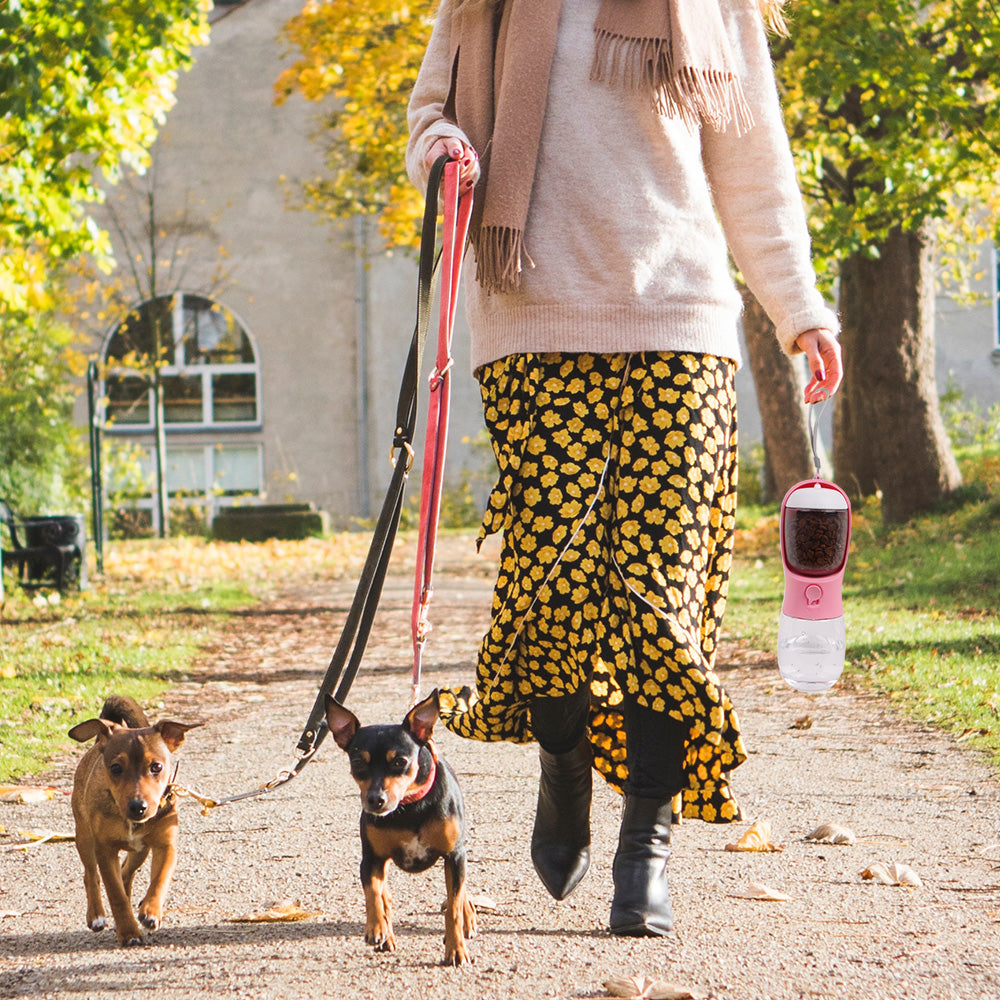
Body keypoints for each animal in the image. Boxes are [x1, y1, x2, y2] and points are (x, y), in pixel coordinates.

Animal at [69, 696, 201, 944]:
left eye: (156, 766)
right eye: (115, 768)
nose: (138, 806)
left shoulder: (165, 845)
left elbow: (160, 879)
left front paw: (150, 911)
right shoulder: (105, 849)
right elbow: (116, 894)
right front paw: (129, 932)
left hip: (140, 850)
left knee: (125, 872)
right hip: (84, 836)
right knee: (90, 875)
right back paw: (96, 916)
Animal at [322, 692, 474, 964]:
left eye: (399, 761)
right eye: (358, 762)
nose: (375, 799)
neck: (410, 808)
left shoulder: (454, 855)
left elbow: (454, 906)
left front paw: (456, 949)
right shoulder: (371, 859)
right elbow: (374, 894)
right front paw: (376, 928)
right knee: (384, 895)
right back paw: (386, 934)